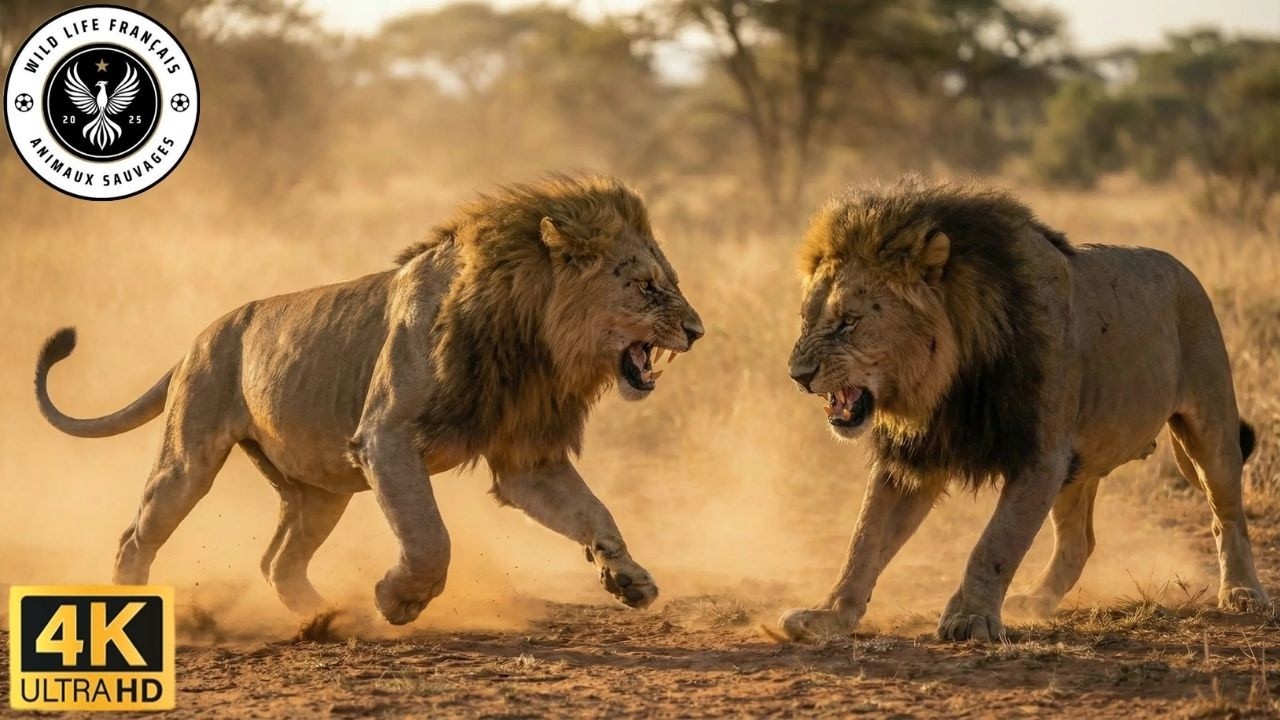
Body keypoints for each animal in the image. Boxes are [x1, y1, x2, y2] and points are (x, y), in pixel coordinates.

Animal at [34, 174, 704, 625]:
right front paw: (398, 600)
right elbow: (430, 536)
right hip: (188, 460)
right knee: (137, 536)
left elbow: (596, 513)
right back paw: (131, 604)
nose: (697, 331)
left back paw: (326, 618)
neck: (532, 341)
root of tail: (197, 338)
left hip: (321, 490)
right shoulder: (385, 437)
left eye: (672, 282)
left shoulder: (527, 461)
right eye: (648, 288)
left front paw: (629, 579)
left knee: (277, 562)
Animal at [778, 177, 1267, 642]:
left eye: (849, 322)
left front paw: (970, 617)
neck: (946, 382)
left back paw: (1243, 592)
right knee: (1078, 542)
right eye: (806, 319)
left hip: (1209, 428)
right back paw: (1036, 600)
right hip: (1079, 463)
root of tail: (1182, 268)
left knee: (1228, 516)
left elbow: (997, 542)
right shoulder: (915, 457)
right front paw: (828, 614)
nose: (798, 375)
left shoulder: (1041, 456)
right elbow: (864, 538)